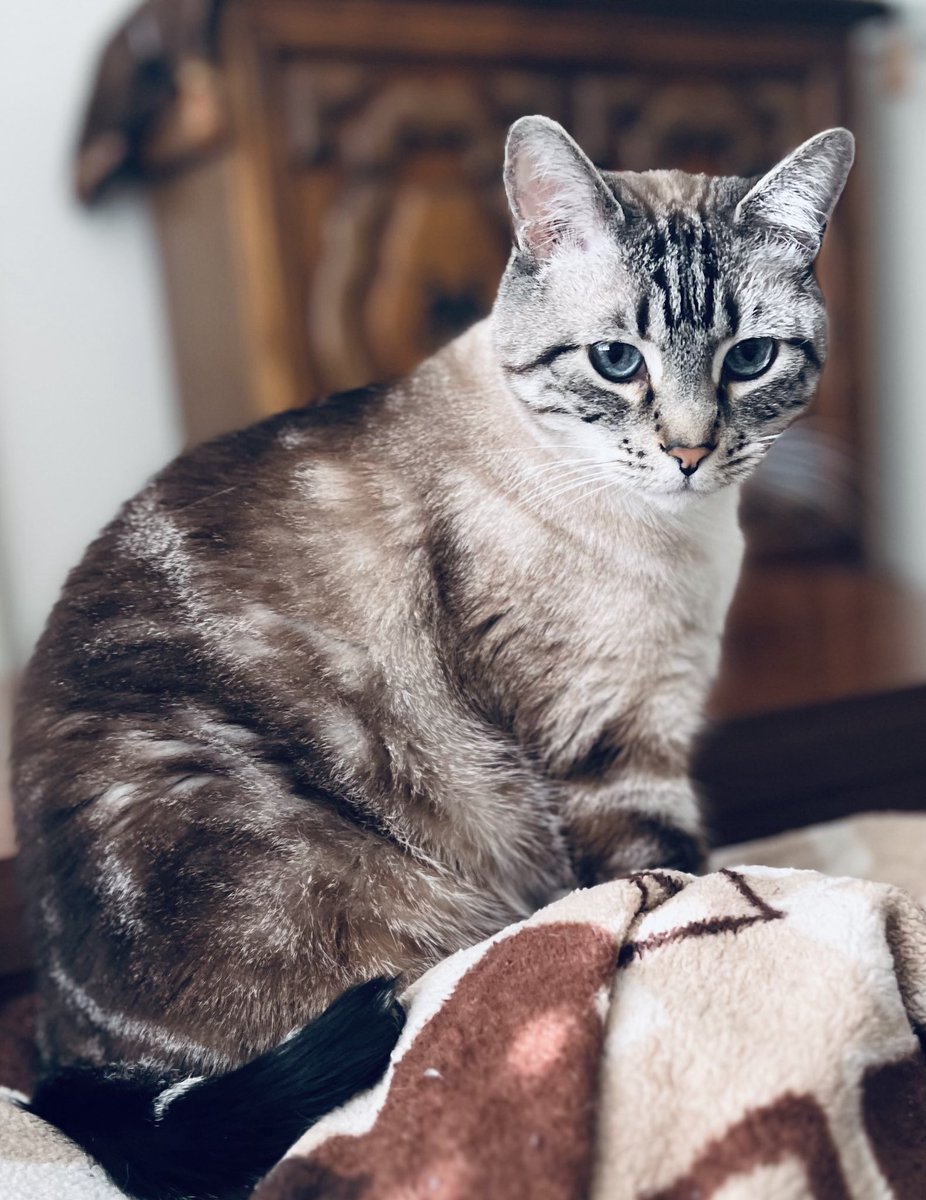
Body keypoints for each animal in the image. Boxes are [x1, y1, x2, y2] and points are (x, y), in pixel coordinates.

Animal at [12, 114, 854, 1200]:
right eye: (614, 361)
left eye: (749, 358)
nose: (688, 452)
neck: (684, 543)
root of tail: (59, 1063)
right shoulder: (610, 753)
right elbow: (681, 880)